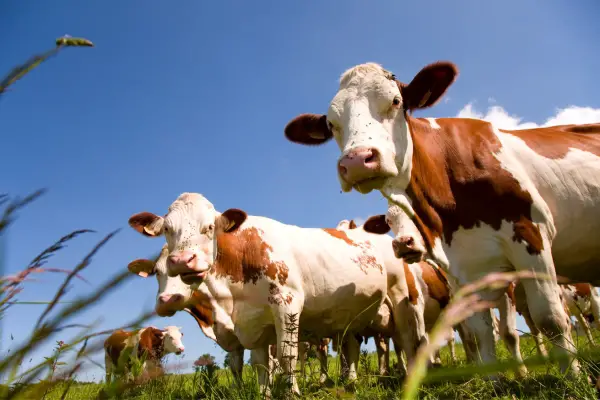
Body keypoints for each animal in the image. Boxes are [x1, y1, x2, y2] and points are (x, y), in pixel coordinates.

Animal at [282, 59, 600, 376]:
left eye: (395, 101)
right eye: (331, 123)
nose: (358, 160)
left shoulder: (530, 234)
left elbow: (549, 320)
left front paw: (571, 378)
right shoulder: (461, 272)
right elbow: (480, 333)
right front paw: (498, 381)